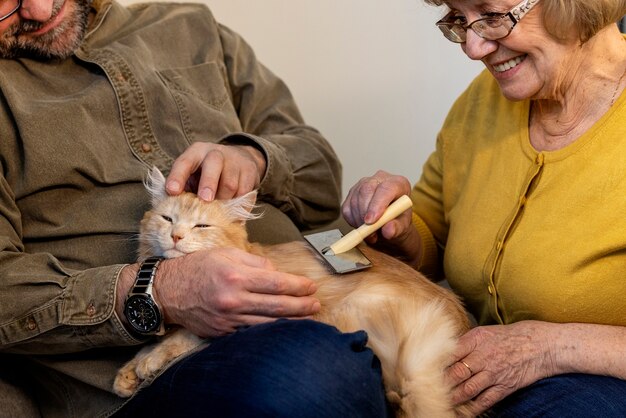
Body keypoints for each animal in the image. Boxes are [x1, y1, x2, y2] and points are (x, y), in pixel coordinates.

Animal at [114, 167, 470, 418]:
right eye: (167, 218)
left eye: (201, 226)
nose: (176, 236)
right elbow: (153, 344)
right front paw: (129, 373)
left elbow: (182, 338)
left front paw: (150, 362)